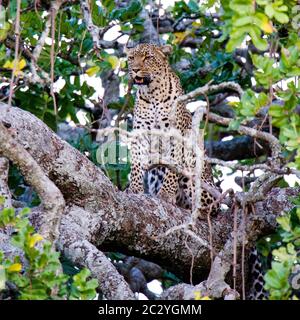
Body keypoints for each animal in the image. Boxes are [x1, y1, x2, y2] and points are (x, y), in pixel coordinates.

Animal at [125, 42, 219, 216]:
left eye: (148, 57)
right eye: (131, 58)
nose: (134, 69)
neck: (151, 93)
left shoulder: (177, 135)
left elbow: (173, 169)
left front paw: (166, 194)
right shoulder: (140, 134)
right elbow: (136, 164)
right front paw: (134, 188)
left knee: (210, 207)